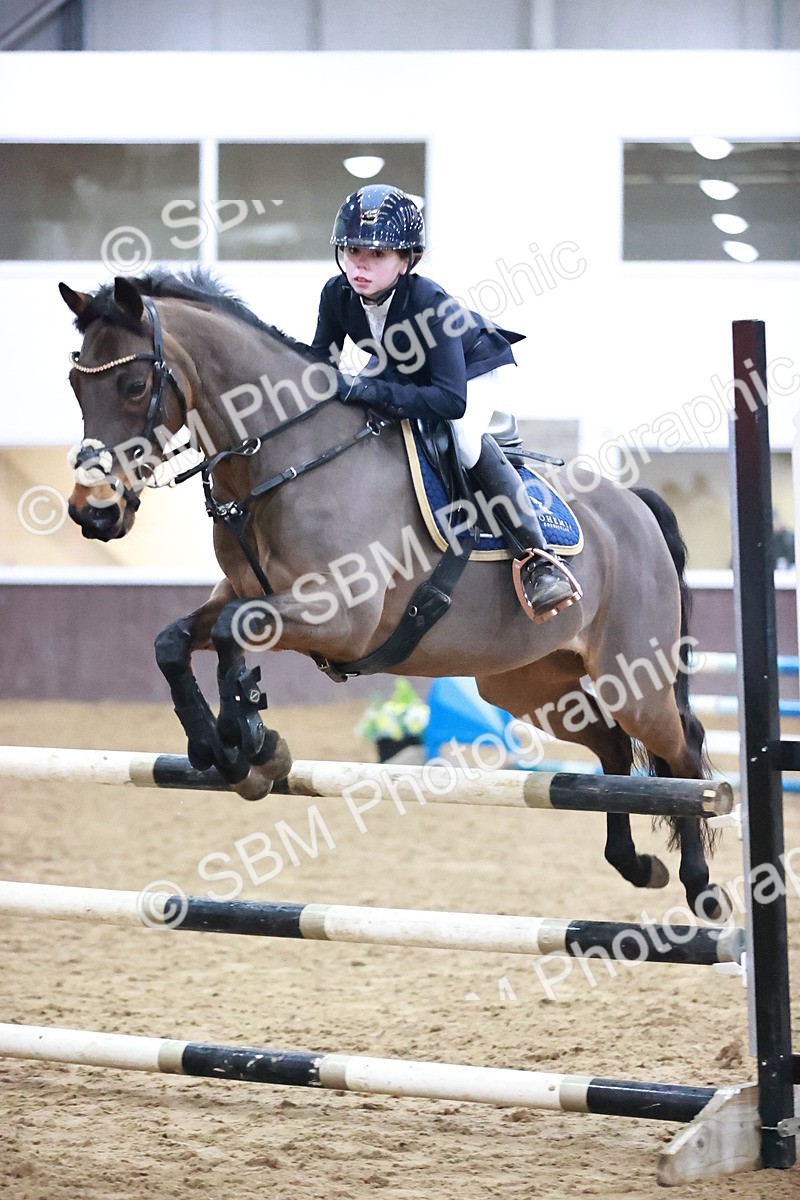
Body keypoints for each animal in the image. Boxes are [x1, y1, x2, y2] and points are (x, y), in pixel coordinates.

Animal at [59, 268, 723, 919]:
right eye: (74, 383)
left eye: (134, 384)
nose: (92, 513)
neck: (285, 460)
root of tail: (635, 504)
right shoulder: (244, 593)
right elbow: (172, 641)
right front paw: (220, 747)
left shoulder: (341, 618)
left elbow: (229, 634)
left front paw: (252, 743)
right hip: (530, 683)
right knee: (612, 744)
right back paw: (636, 865)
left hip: (633, 677)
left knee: (682, 753)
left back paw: (702, 888)